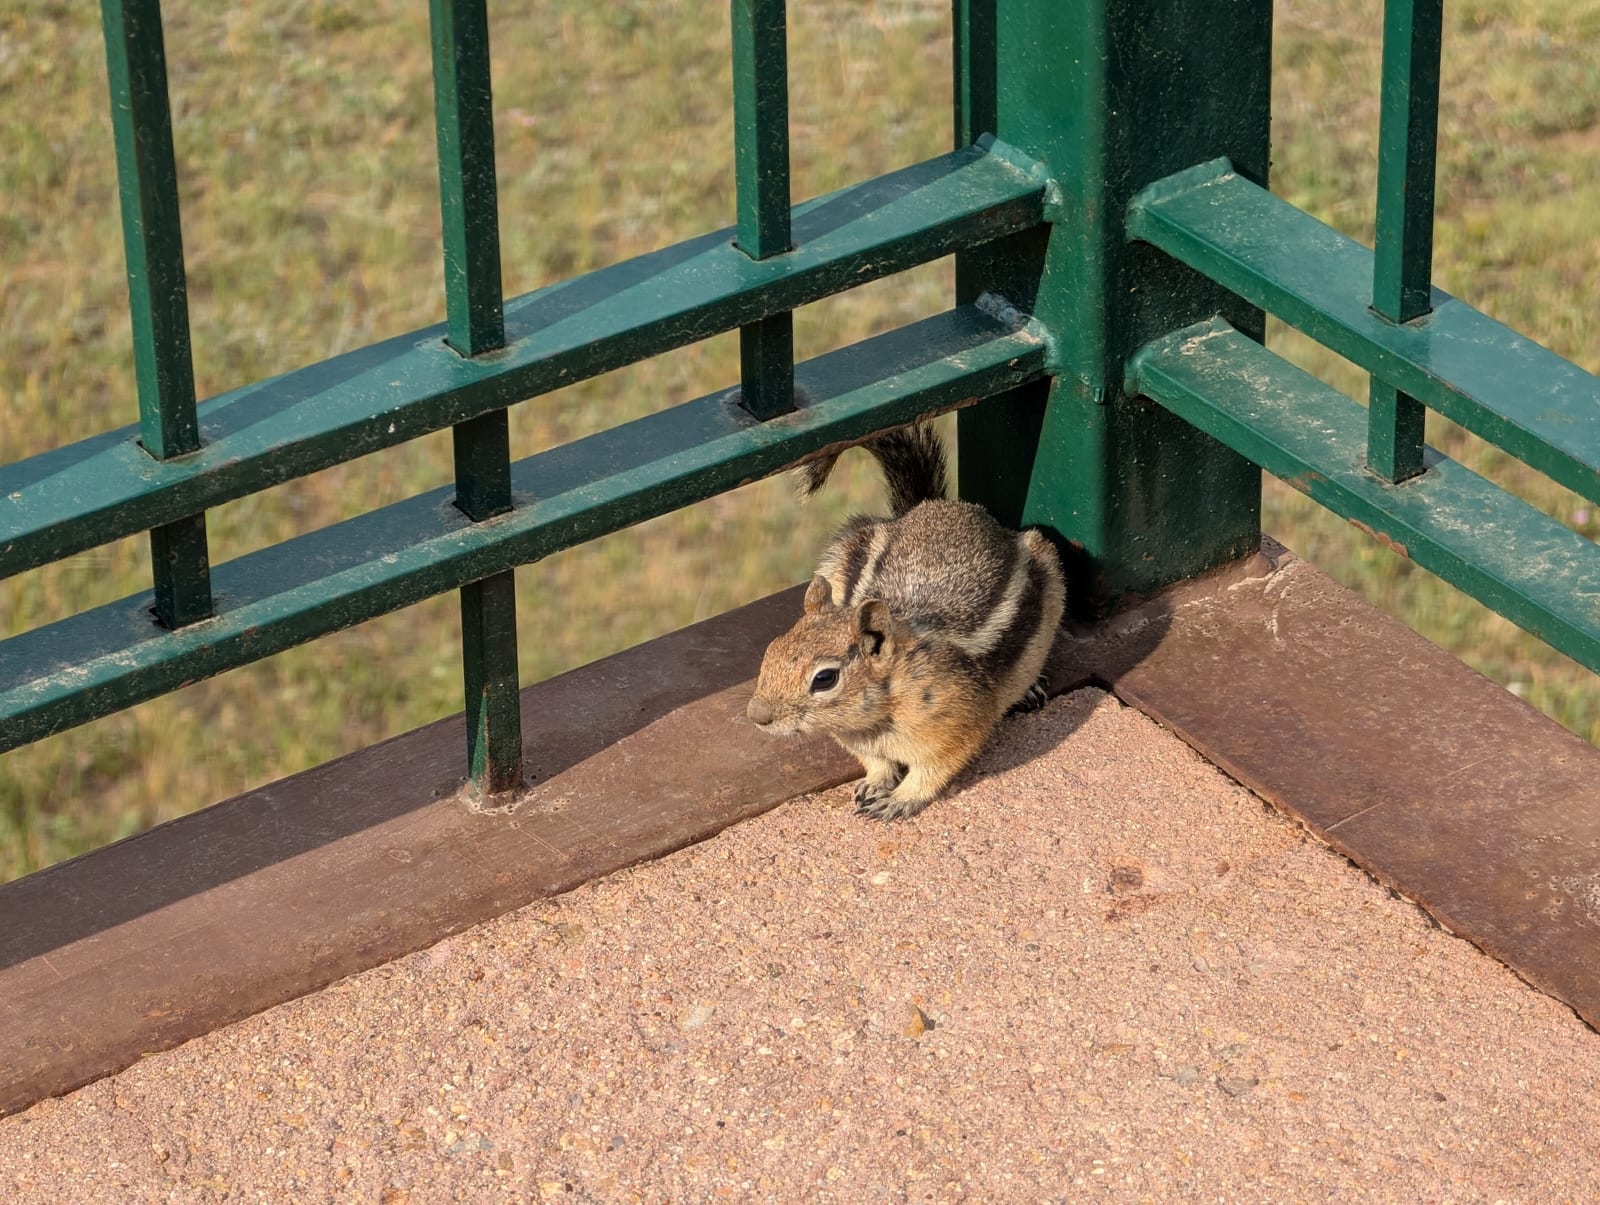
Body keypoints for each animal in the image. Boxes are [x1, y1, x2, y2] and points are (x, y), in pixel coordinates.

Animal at [746, 422, 1065, 821]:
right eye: (770, 651)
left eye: (825, 679)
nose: (757, 716)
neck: (879, 715)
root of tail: (937, 506)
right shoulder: (858, 739)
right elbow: (876, 762)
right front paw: (876, 782)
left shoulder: (957, 722)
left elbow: (936, 768)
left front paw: (899, 799)